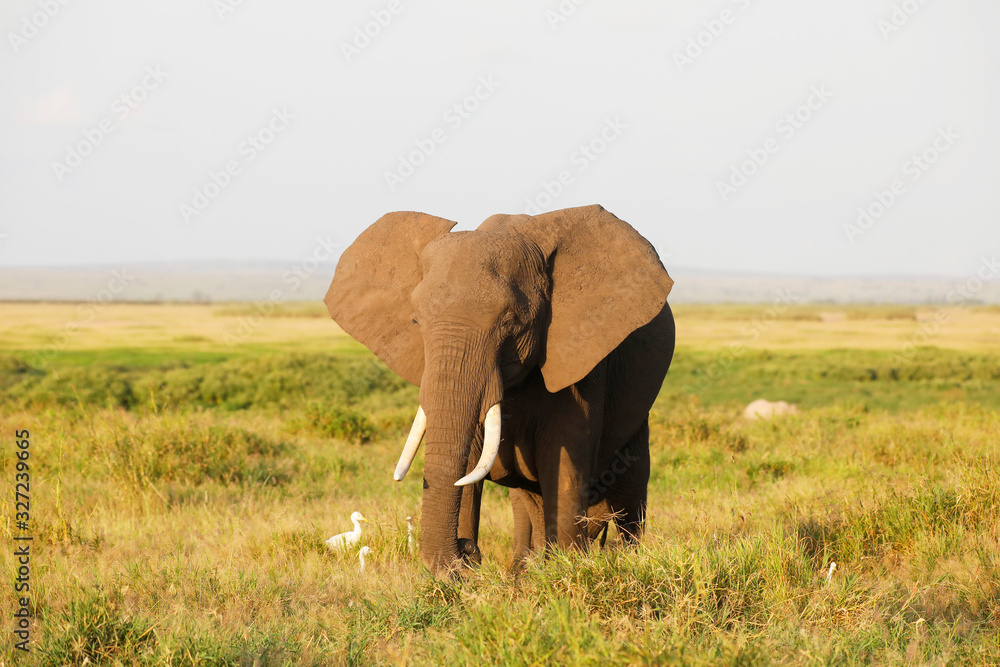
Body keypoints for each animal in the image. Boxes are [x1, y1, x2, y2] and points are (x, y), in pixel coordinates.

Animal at [324, 204, 675, 576]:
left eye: (511, 322)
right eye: (416, 321)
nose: (465, 550)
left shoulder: (585, 359)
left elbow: (564, 469)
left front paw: (567, 570)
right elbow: (468, 463)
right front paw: (460, 575)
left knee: (629, 495)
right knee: (528, 502)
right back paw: (525, 568)